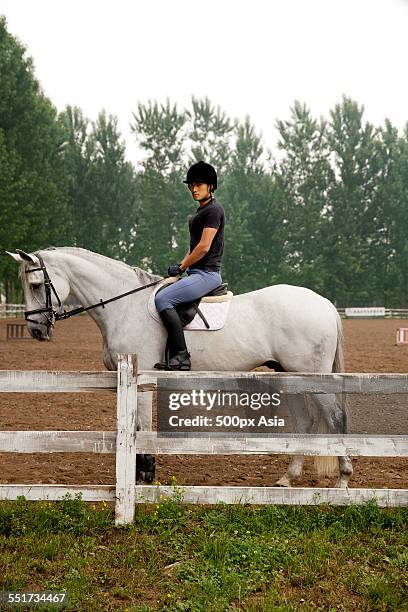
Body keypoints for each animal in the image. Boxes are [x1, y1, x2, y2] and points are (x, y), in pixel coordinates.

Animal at [6, 246, 352, 490]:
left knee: (336, 418)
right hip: (290, 376)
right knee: (305, 421)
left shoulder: (141, 381)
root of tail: (323, 303)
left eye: (35, 284)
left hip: (313, 378)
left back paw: (343, 478)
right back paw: (288, 478)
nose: (36, 330)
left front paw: (144, 476)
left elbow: (141, 429)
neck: (124, 306)